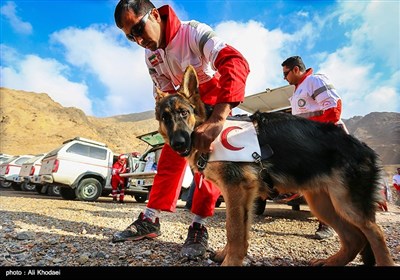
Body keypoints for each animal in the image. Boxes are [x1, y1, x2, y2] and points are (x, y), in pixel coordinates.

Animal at [154, 65, 394, 266]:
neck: (208, 127)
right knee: (355, 238)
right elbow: (239, 231)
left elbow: (234, 230)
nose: (178, 144)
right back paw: (331, 262)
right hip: (324, 205)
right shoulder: (242, 195)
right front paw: (226, 255)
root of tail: (364, 147)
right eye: (165, 118)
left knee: (375, 233)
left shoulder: (236, 189)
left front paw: (230, 262)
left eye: (184, 113)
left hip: (347, 205)